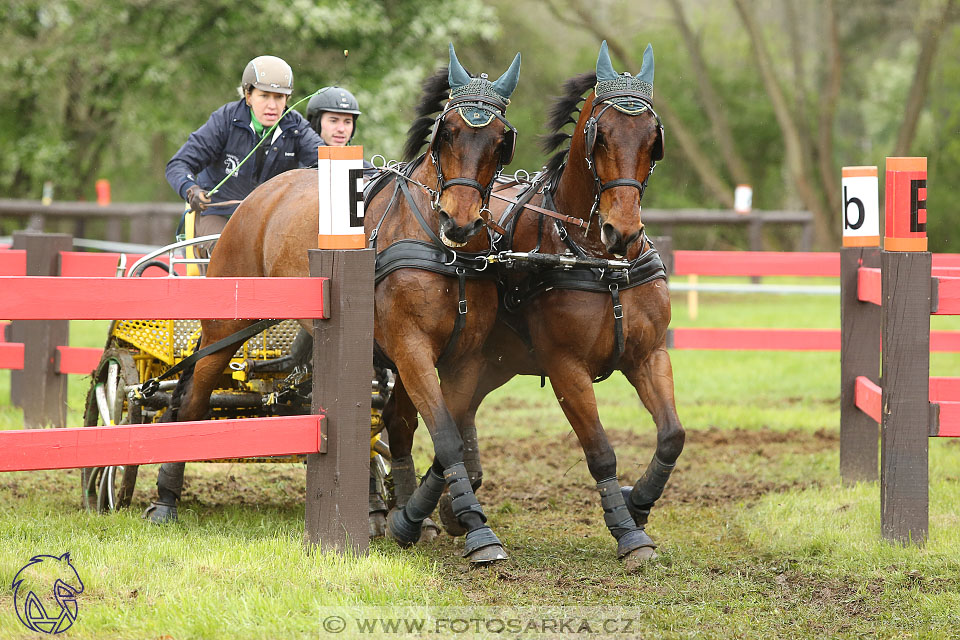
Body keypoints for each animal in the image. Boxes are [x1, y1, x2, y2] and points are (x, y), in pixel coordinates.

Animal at [436, 42, 684, 568]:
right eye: (601, 136)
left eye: (652, 139)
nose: (622, 231)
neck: (598, 258)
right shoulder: (566, 366)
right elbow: (601, 450)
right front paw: (628, 532)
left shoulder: (650, 355)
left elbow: (673, 435)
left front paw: (638, 503)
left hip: (493, 361)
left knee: (463, 413)